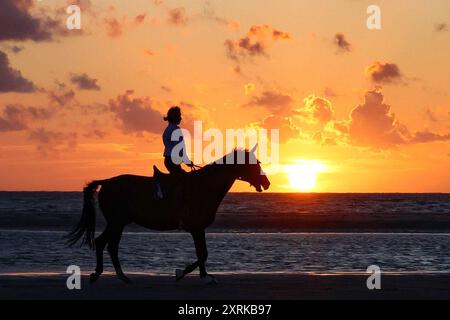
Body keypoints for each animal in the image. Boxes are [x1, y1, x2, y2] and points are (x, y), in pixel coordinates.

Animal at [67, 149, 270, 284]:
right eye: (255, 164)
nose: (267, 183)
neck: (204, 186)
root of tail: (107, 182)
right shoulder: (196, 228)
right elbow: (202, 253)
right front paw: (182, 273)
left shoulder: (199, 229)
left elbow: (202, 253)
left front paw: (204, 276)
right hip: (116, 222)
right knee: (106, 244)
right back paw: (109, 275)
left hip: (119, 223)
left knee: (107, 245)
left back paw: (114, 275)